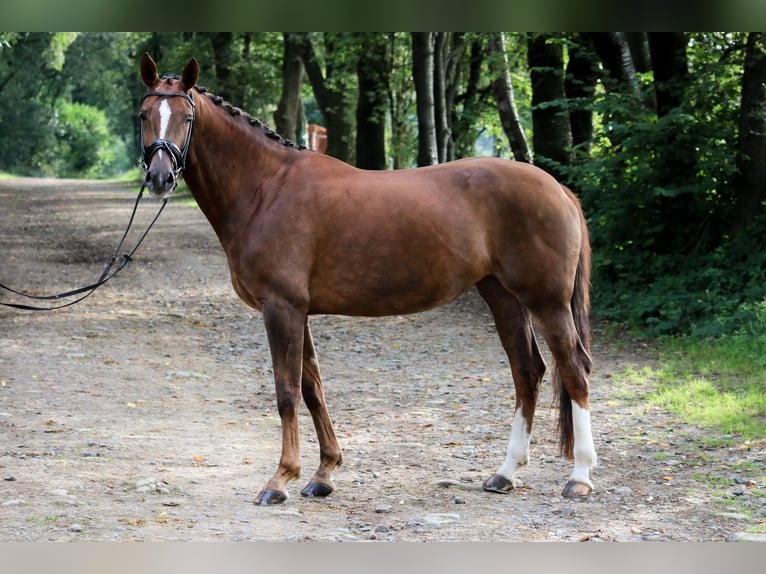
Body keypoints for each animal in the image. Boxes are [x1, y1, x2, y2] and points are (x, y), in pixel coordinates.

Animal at [138, 51, 596, 506]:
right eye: (144, 114)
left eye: (186, 117)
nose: (160, 178)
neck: (267, 188)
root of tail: (558, 188)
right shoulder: (300, 312)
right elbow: (313, 389)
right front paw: (323, 474)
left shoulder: (282, 308)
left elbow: (287, 392)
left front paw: (280, 479)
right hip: (503, 297)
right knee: (527, 371)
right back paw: (505, 472)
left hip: (547, 302)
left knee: (573, 370)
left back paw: (579, 476)